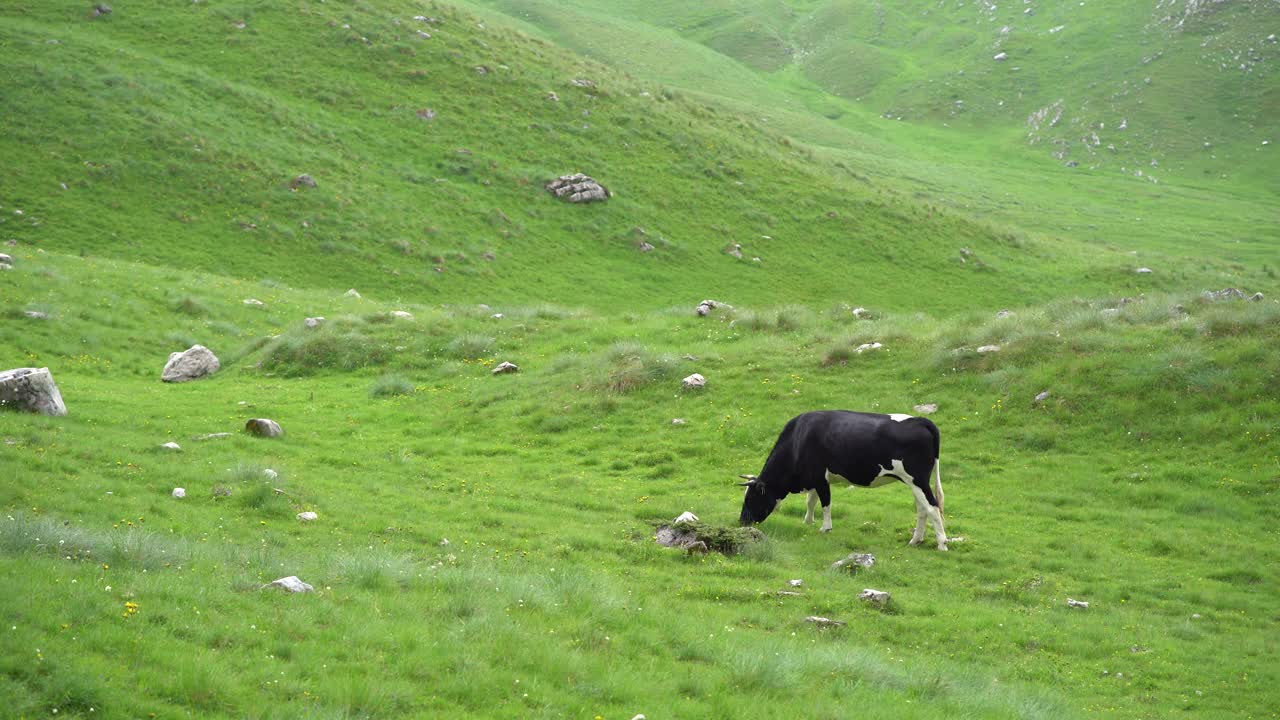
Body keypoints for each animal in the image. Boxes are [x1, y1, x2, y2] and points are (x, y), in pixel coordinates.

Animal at [742, 409, 952, 548]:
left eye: (751, 497)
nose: (742, 521)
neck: (798, 440)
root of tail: (921, 421)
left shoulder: (820, 478)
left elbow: (825, 504)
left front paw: (825, 528)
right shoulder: (813, 478)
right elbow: (811, 501)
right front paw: (808, 522)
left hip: (918, 479)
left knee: (932, 507)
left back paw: (942, 543)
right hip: (913, 482)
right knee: (922, 509)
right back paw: (915, 540)